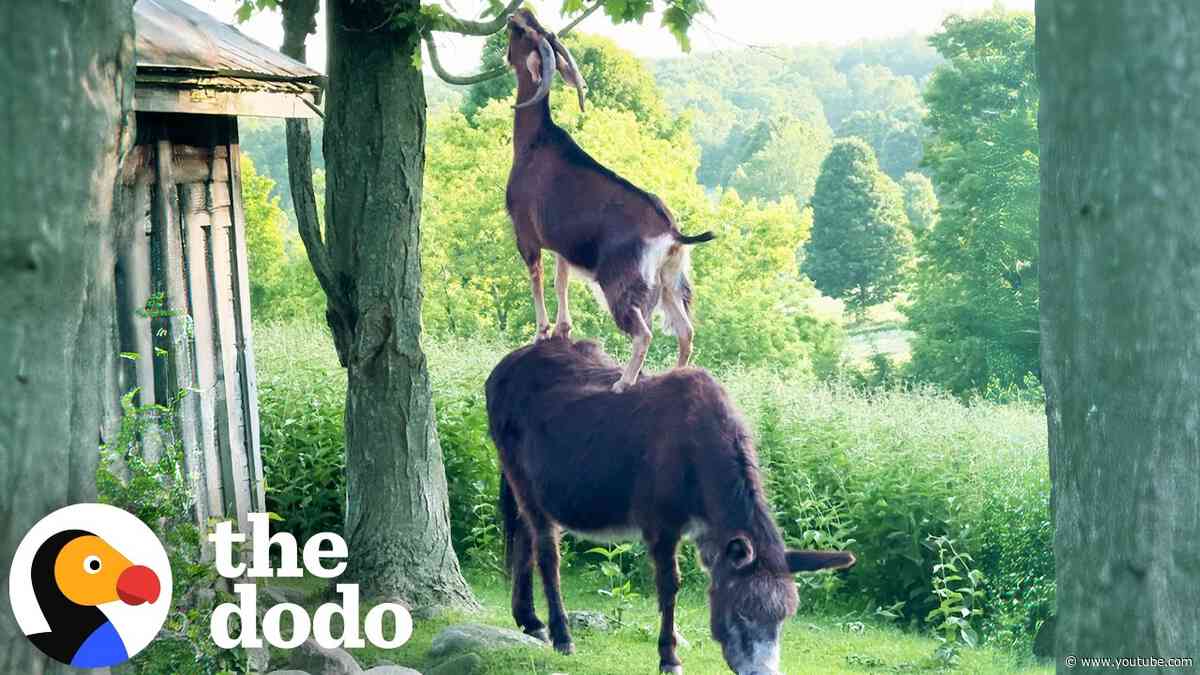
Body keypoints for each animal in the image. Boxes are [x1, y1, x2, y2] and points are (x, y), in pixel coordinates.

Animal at [486, 337, 858, 674]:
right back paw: (561, 635)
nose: (763, 674)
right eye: (740, 611)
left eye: (783, 618)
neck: (697, 450)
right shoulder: (660, 526)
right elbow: (669, 586)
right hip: (524, 479)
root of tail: (509, 362)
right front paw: (669, 657)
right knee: (547, 553)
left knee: (524, 539)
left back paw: (530, 621)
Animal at [503, 9, 715, 392]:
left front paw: (542, 332)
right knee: (686, 331)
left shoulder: (525, 232)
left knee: (644, 333)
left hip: (621, 283)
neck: (534, 141)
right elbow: (560, 281)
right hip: (669, 282)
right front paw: (562, 330)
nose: (517, 12)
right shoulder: (562, 245)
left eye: (523, 31)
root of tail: (673, 235)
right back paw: (675, 375)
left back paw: (623, 383)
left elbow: (537, 278)